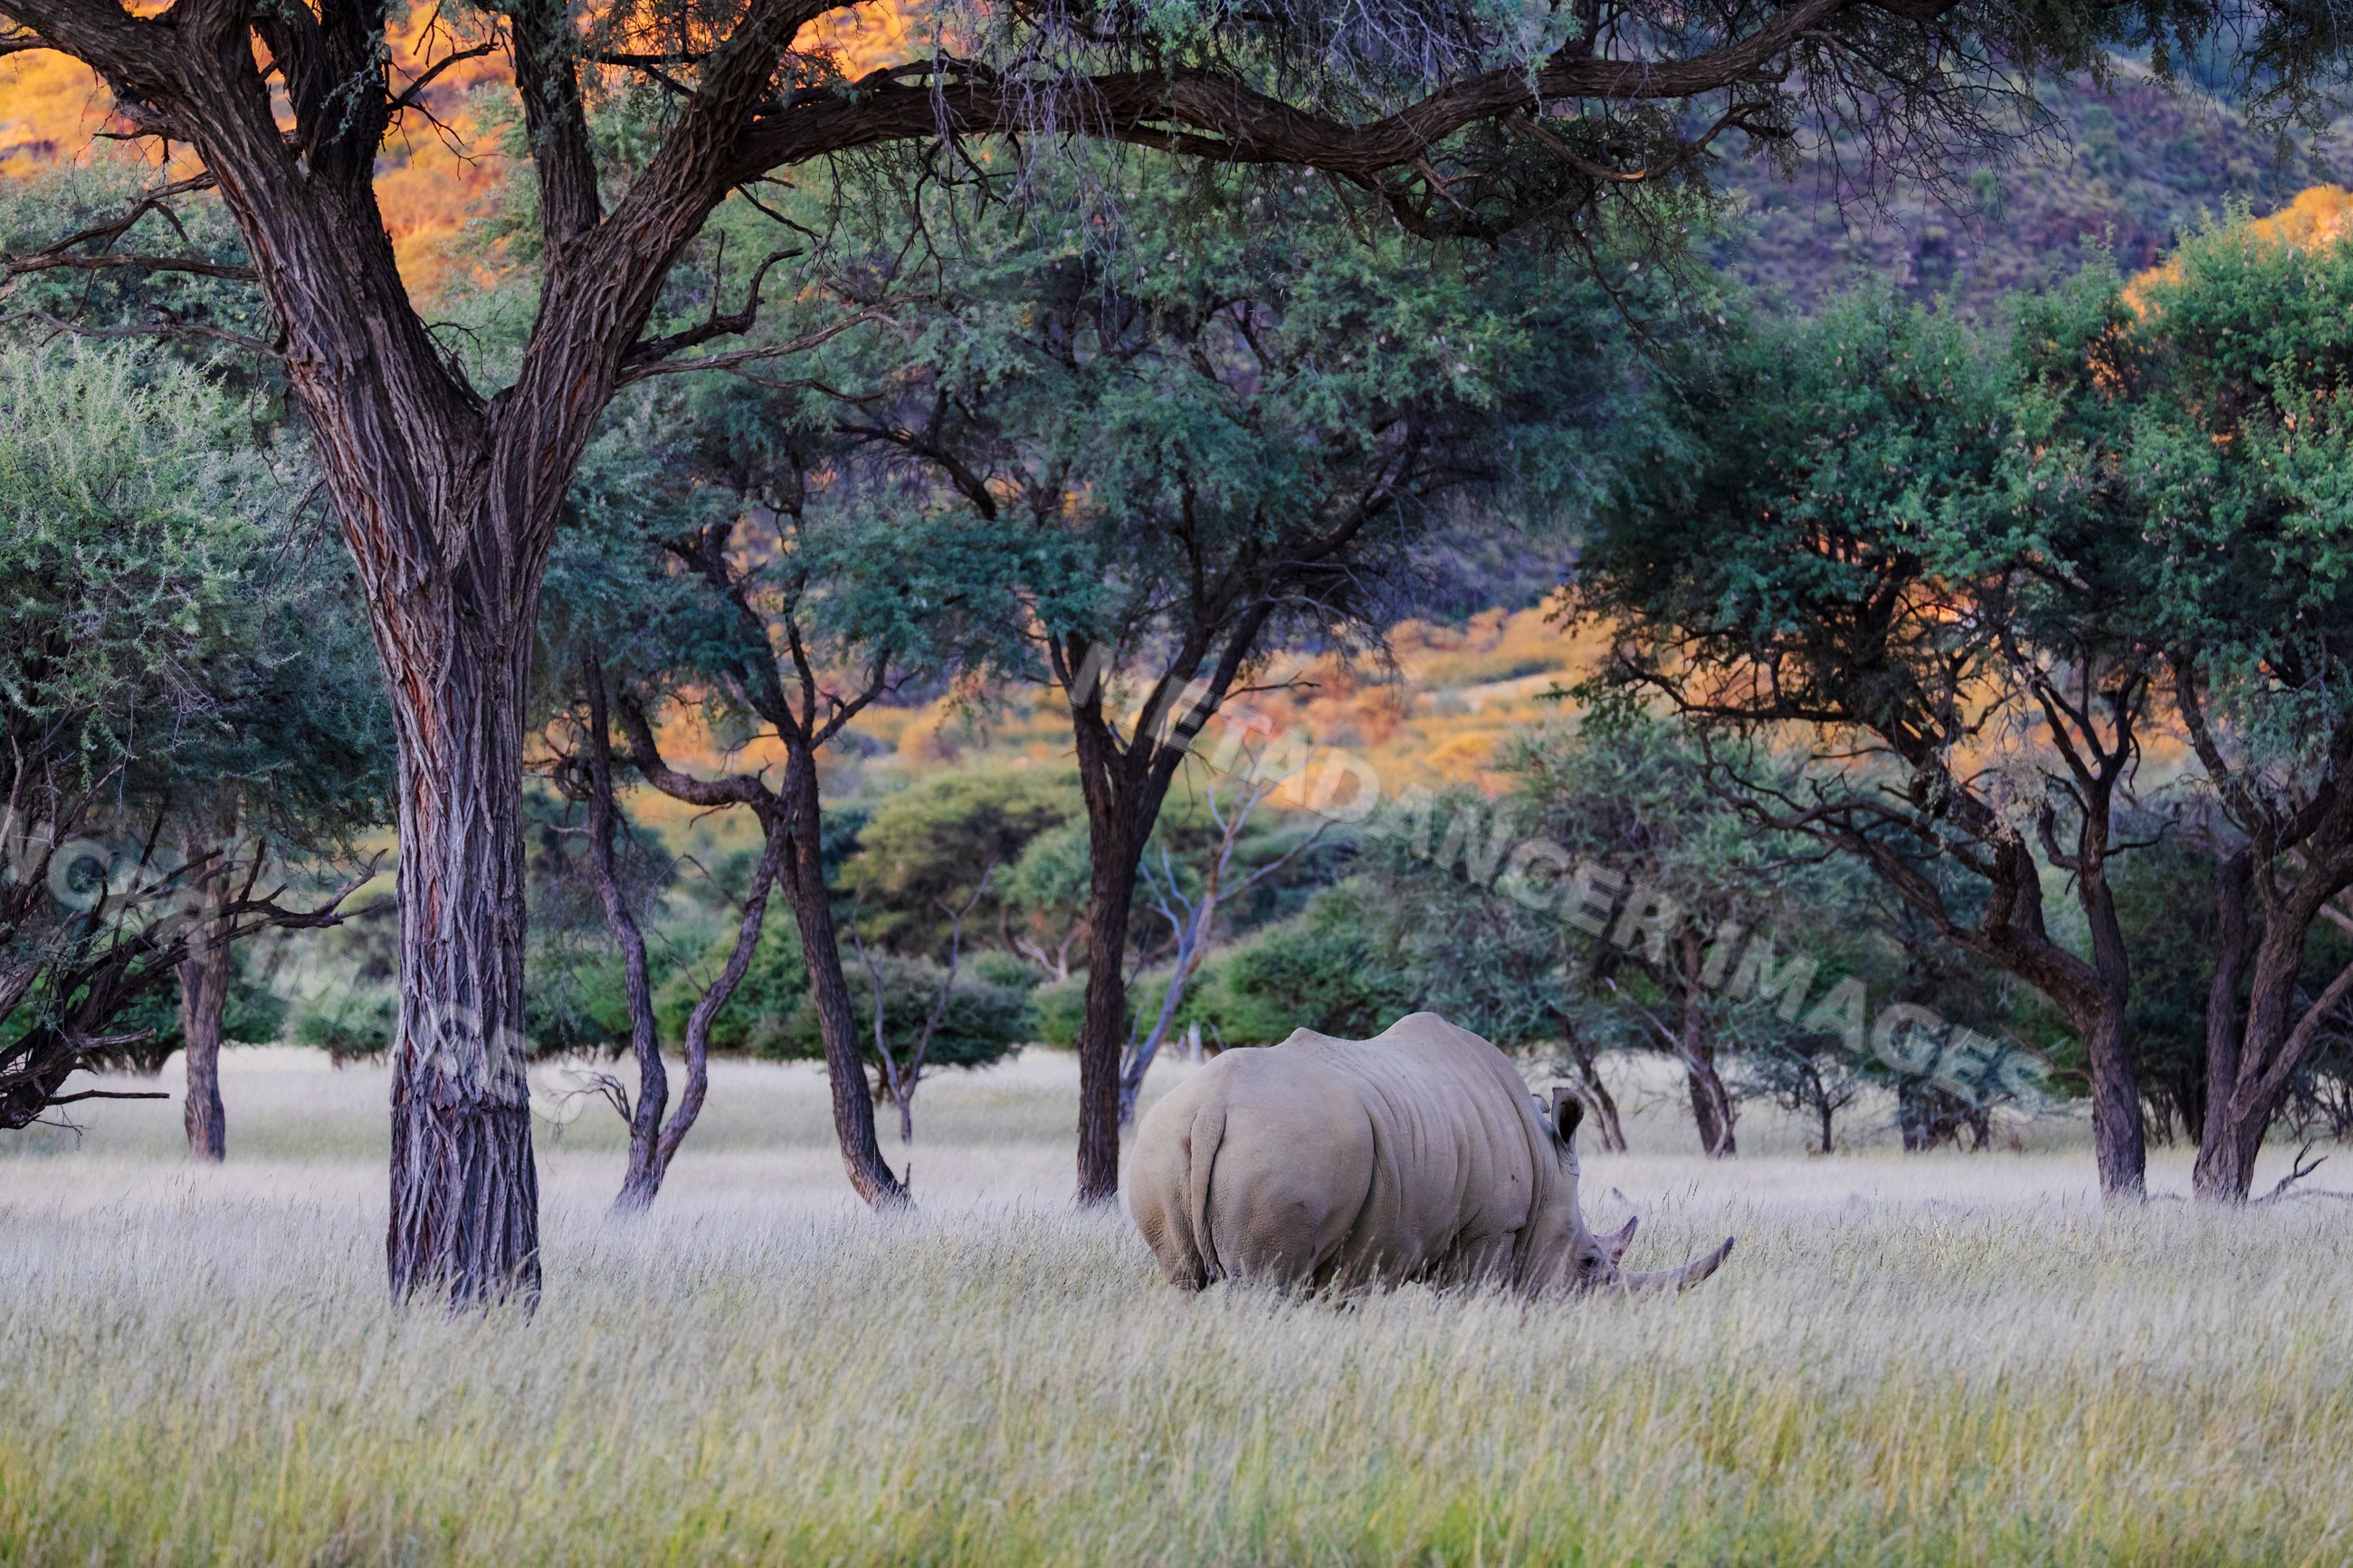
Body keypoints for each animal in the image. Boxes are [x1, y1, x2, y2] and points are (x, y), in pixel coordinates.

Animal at [1129, 1012, 1733, 1295]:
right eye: (1588, 1263)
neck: (1546, 1165)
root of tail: (1213, 1109)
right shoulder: (1491, 1229)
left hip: (1162, 1139)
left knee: (1185, 1280)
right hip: (1285, 1149)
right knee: (1262, 1284)